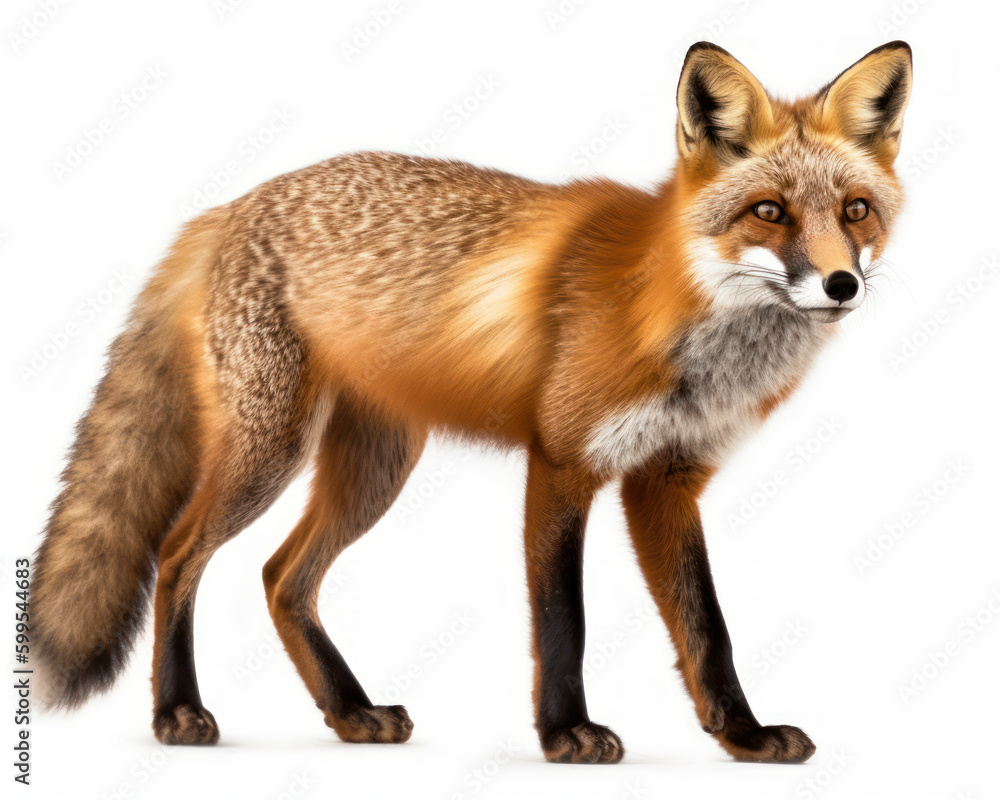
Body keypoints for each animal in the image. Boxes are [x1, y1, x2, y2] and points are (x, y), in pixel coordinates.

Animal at [32, 40, 912, 764]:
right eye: (769, 211)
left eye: (855, 211)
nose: (842, 284)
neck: (673, 316)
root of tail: (232, 205)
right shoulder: (562, 462)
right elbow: (564, 619)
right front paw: (565, 733)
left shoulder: (665, 479)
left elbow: (708, 628)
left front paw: (743, 736)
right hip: (271, 451)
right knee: (177, 554)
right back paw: (177, 713)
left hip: (375, 468)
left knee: (283, 576)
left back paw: (349, 714)